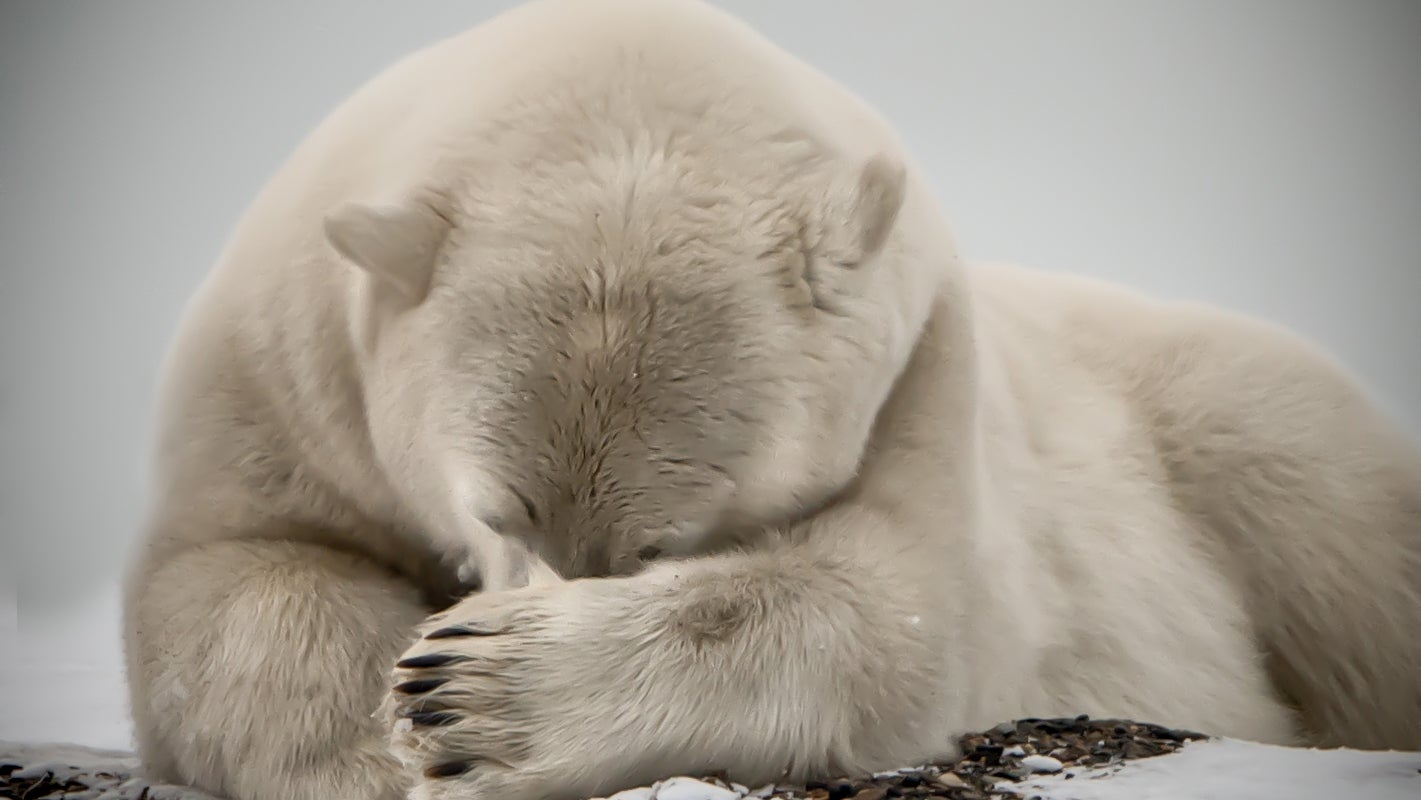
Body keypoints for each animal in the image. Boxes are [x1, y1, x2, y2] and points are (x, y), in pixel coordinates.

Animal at [122, 1, 1421, 799]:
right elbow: (230, 574)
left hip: (1225, 416)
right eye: (497, 511)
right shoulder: (282, 363)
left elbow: (890, 610)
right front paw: (395, 734)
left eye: (666, 540)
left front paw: (473, 696)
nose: (532, 594)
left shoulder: (923, 369)